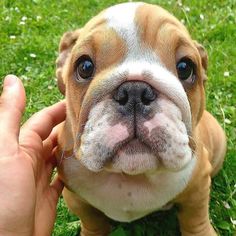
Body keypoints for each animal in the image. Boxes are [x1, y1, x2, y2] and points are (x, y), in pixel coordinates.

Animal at [55, 2, 227, 236]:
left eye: (186, 68)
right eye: (84, 67)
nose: (135, 91)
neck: (131, 177)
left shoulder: (198, 187)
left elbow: (195, 219)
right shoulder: (75, 197)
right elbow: (92, 221)